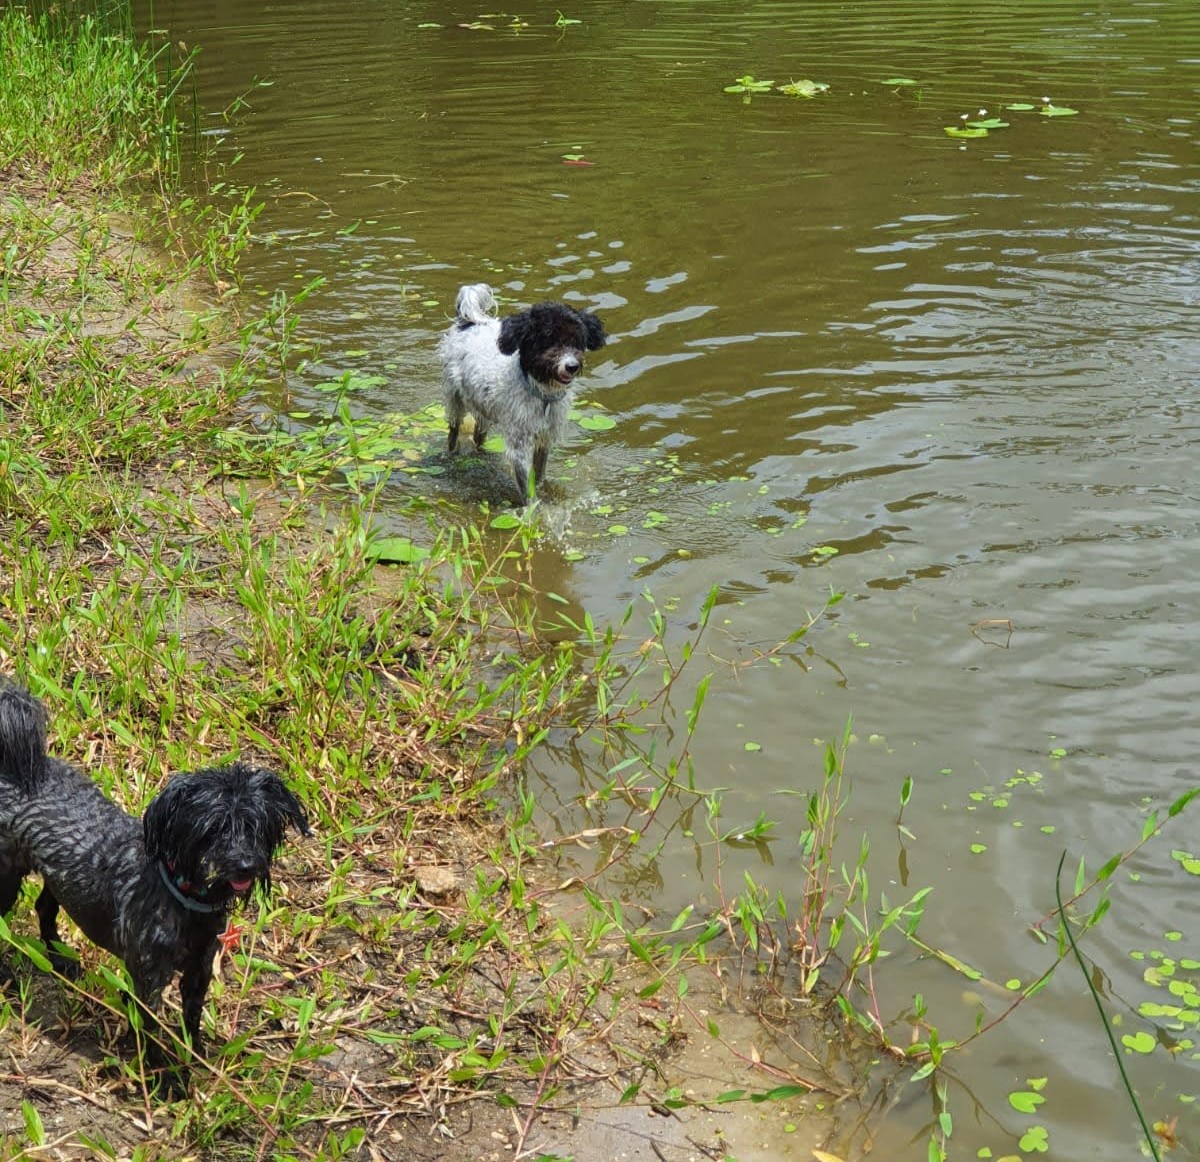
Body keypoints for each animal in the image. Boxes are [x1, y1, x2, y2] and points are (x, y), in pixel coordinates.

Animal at [0, 681, 312, 1089]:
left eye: (256, 827)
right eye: (212, 829)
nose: (245, 863)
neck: (183, 900)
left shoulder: (199, 971)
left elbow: (190, 1022)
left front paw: (194, 1058)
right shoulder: (149, 980)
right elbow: (151, 1031)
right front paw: (164, 1080)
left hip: (57, 880)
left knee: (45, 908)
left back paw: (60, 958)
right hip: (5, 879)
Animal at [439, 282, 604, 504]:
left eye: (576, 341)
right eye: (548, 340)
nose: (572, 366)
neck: (540, 395)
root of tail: (468, 322)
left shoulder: (545, 436)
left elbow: (539, 473)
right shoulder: (519, 443)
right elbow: (527, 487)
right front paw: (533, 509)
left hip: (483, 409)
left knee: (478, 436)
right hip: (455, 400)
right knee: (453, 432)